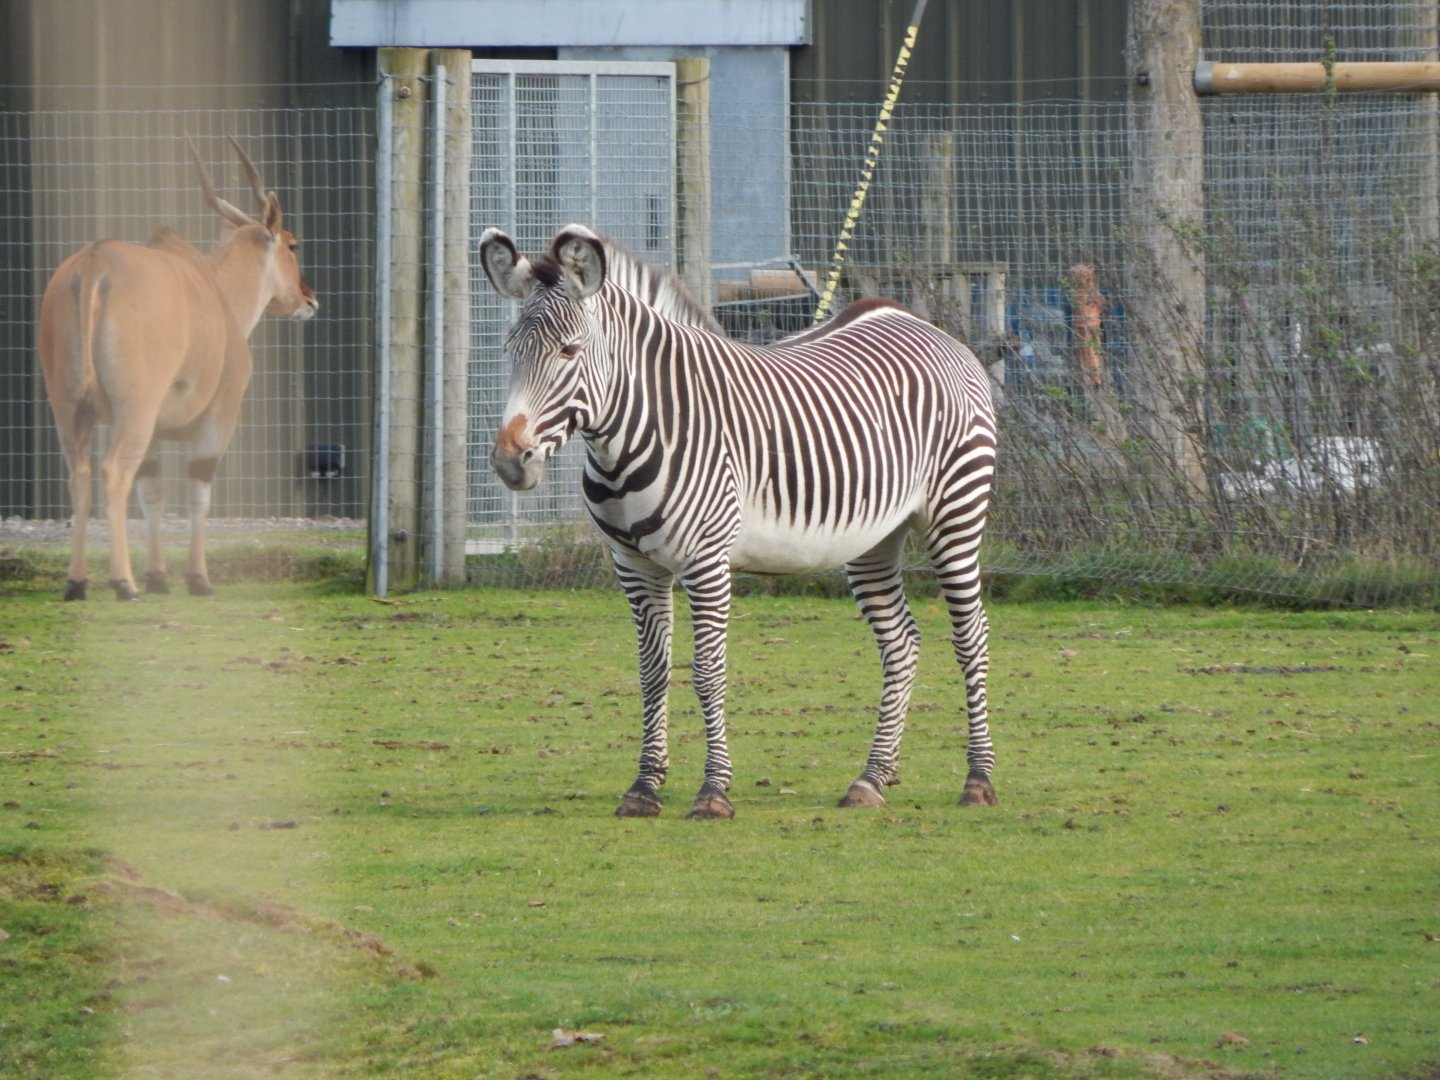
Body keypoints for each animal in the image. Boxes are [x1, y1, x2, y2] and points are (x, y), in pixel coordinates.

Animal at [480, 224, 998, 819]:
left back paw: (978, 779)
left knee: (971, 637)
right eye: (509, 352)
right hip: (874, 538)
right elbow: (653, 672)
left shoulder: (707, 563)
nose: (509, 461)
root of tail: (917, 321)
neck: (635, 432)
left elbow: (708, 672)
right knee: (901, 642)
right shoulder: (633, 565)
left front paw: (713, 791)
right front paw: (644, 787)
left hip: (956, 511)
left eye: (569, 351)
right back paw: (872, 777)